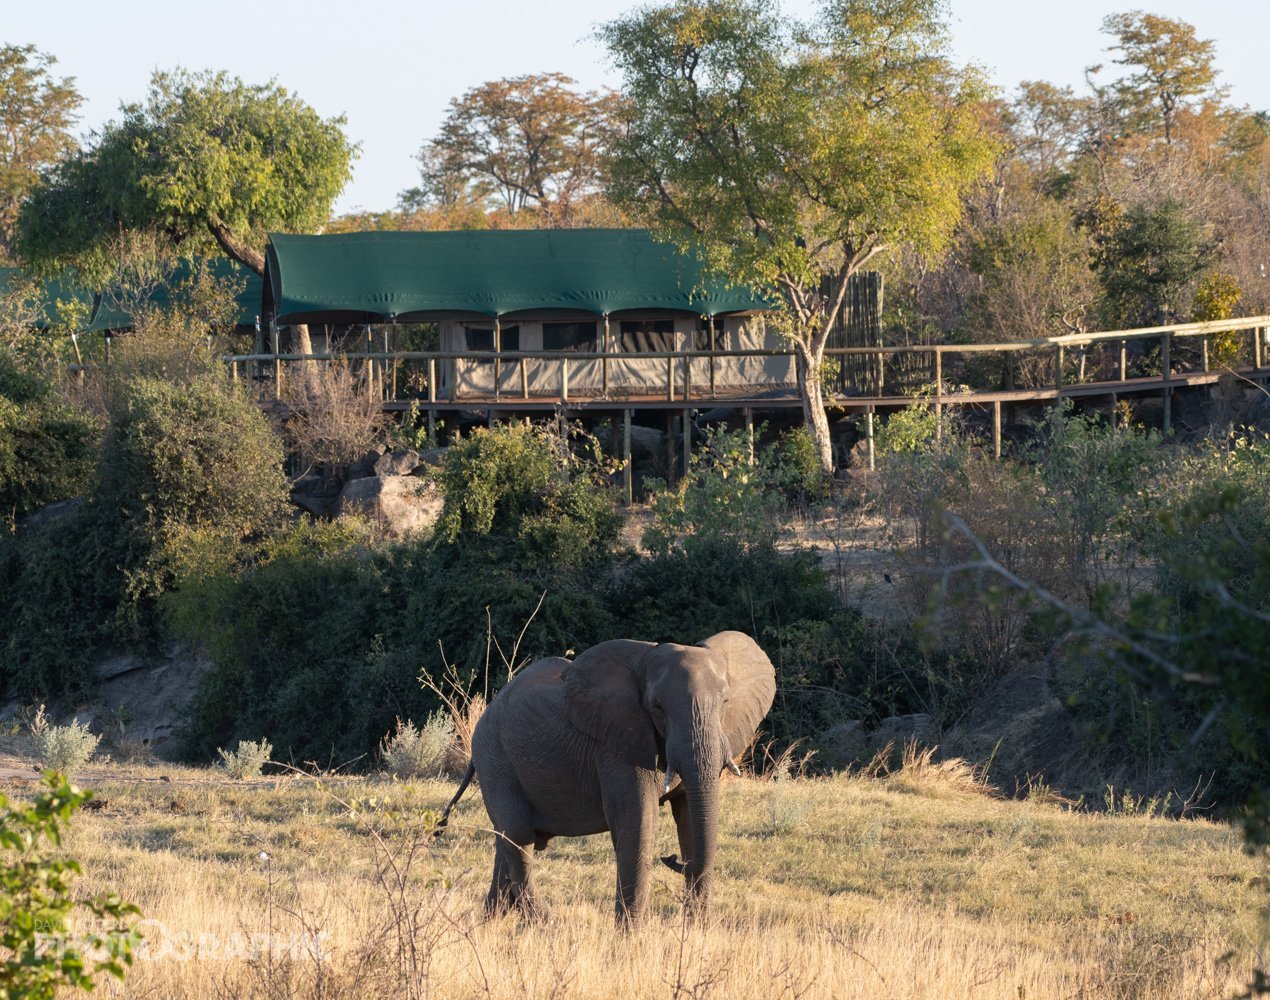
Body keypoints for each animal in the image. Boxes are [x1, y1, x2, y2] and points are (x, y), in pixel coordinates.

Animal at [436, 630, 772, 925]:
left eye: (725, 702)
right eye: (657, 707)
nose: (672, 858)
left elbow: (690, 818)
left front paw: (695, 934)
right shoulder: (615, 747)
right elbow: (637, 822)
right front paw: (630, 939)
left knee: (505, 845)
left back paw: (489, 926)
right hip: (496, 759)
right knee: (517, 837)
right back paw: (547, 926)